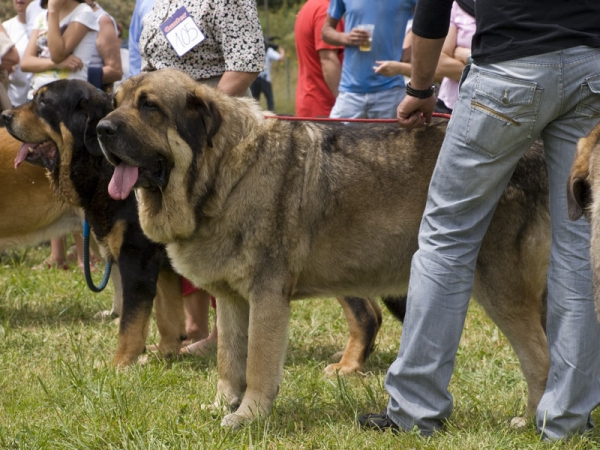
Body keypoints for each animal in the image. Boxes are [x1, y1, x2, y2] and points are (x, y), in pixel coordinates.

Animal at [1, 80, 186, 366]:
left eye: (43, 102)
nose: (5, 116)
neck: (101, 166)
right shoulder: (163, 263)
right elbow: (170, 314)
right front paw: (166, 352)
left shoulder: (138, 258)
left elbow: (131, 322)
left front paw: (120, 363)